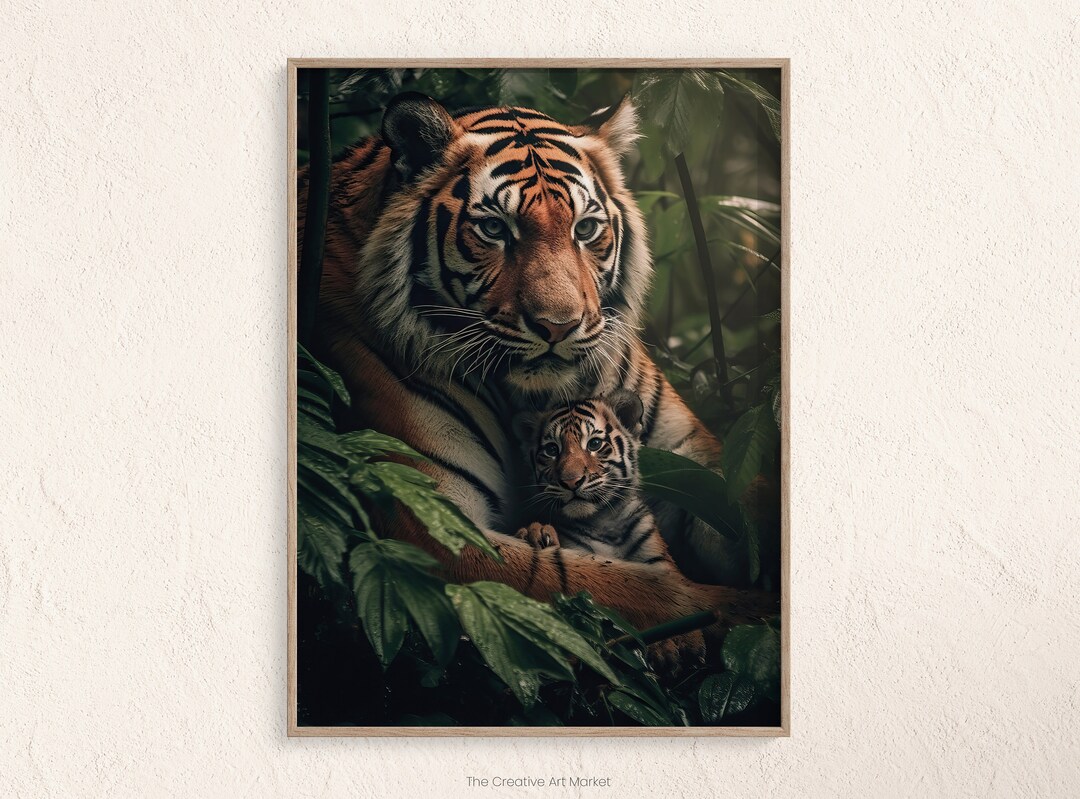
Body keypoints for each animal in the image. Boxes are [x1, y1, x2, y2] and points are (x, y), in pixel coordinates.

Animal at [298, 89, 777, 643]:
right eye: (493, 228)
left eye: (585, 228)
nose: (558, 326)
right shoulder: (433, 522)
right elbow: (621, 583)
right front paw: (740, 612)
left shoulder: (701, 462)